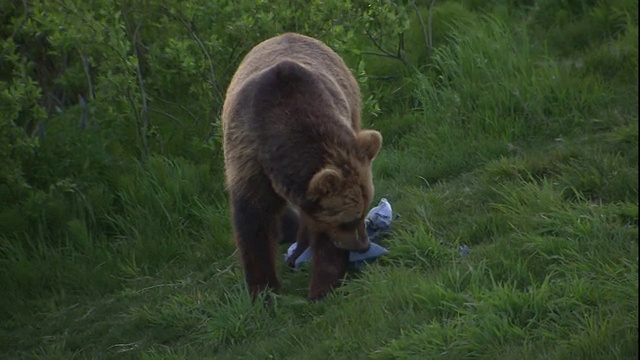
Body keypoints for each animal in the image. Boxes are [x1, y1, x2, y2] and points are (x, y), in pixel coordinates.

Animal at [221, 32, 380, 300]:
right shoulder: (248, 159)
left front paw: (321, 287)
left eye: (364, 210)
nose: (363, 245)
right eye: (348, 221)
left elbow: (323, 234)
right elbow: (253, 223)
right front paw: (264, 290)